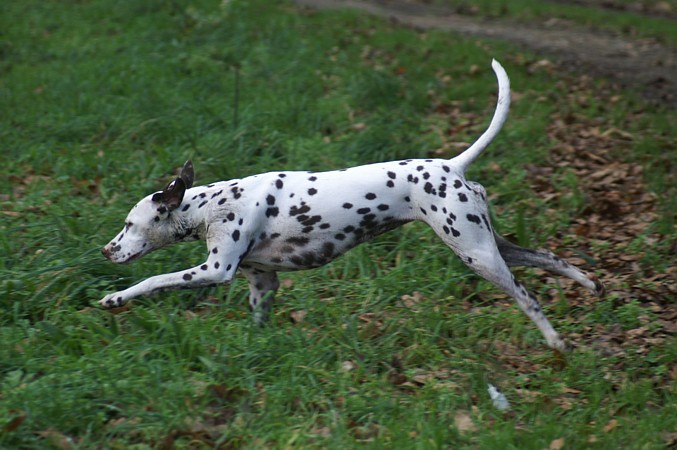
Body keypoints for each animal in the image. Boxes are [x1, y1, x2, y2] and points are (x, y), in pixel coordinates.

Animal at [100, 60, 604, 352]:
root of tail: (451, 165)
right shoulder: (263, 283)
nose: (106, 250)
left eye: (129, 224)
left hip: (479, 257)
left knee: (529, 297)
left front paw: (115, 298)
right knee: (550, 258)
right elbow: (257, 322)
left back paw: (556, 342)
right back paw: (591, 285)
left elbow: (153, 281)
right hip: (492, 247)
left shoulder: (212, 271)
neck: (214, 205)